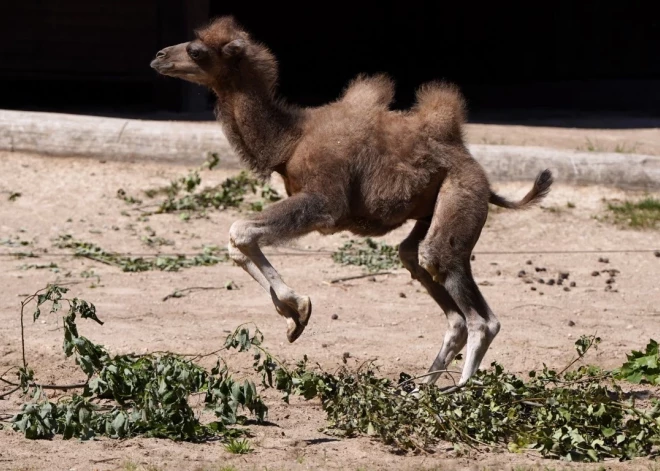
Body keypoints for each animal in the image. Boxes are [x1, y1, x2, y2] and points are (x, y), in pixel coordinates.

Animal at [150, 16, 552, 390]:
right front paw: (293, 316)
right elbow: (239, 241)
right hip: (432, 210)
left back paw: (459, 394)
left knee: (476, 311)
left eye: (197, 51)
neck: (290, 140)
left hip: (461, 194)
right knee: (426, 274)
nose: (158, 56)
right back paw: (420, 390)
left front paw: (298, 308)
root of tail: (477, 170)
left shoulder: (324, 202)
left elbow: (241, 231)